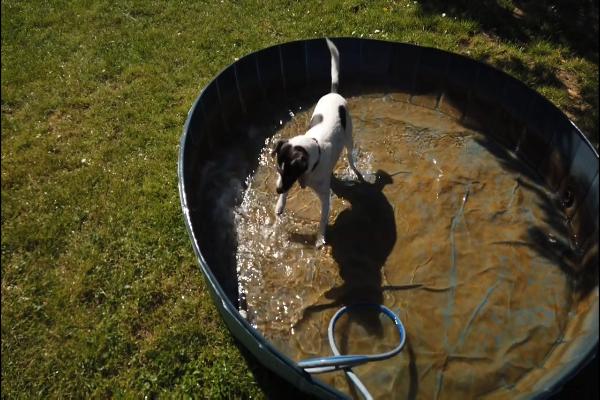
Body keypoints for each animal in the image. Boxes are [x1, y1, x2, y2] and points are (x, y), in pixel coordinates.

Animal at [270, 39, 364, 248]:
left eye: (290, 172)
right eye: (279, 171)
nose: (277, 189)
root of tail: (333, 93)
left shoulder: (324, 196)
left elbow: (322, 219)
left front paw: (320, 238)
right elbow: (286, 194)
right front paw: (280, 204)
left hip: (349, 138)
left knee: (349, 155)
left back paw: (353, 170)